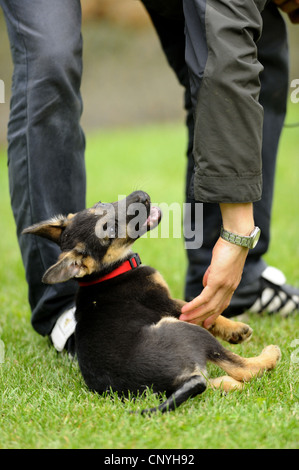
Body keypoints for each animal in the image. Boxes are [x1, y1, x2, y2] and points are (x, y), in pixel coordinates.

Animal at [23, 190, 282, 412]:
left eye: (101, 203)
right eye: (111, 230)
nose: (142, 196)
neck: (109, 272)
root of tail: (178, 381)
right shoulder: (168, 304)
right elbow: (209, 314)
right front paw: (236, 329)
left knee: (214, 384)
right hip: (184, 330)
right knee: (245, 369)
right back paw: (269, 355)